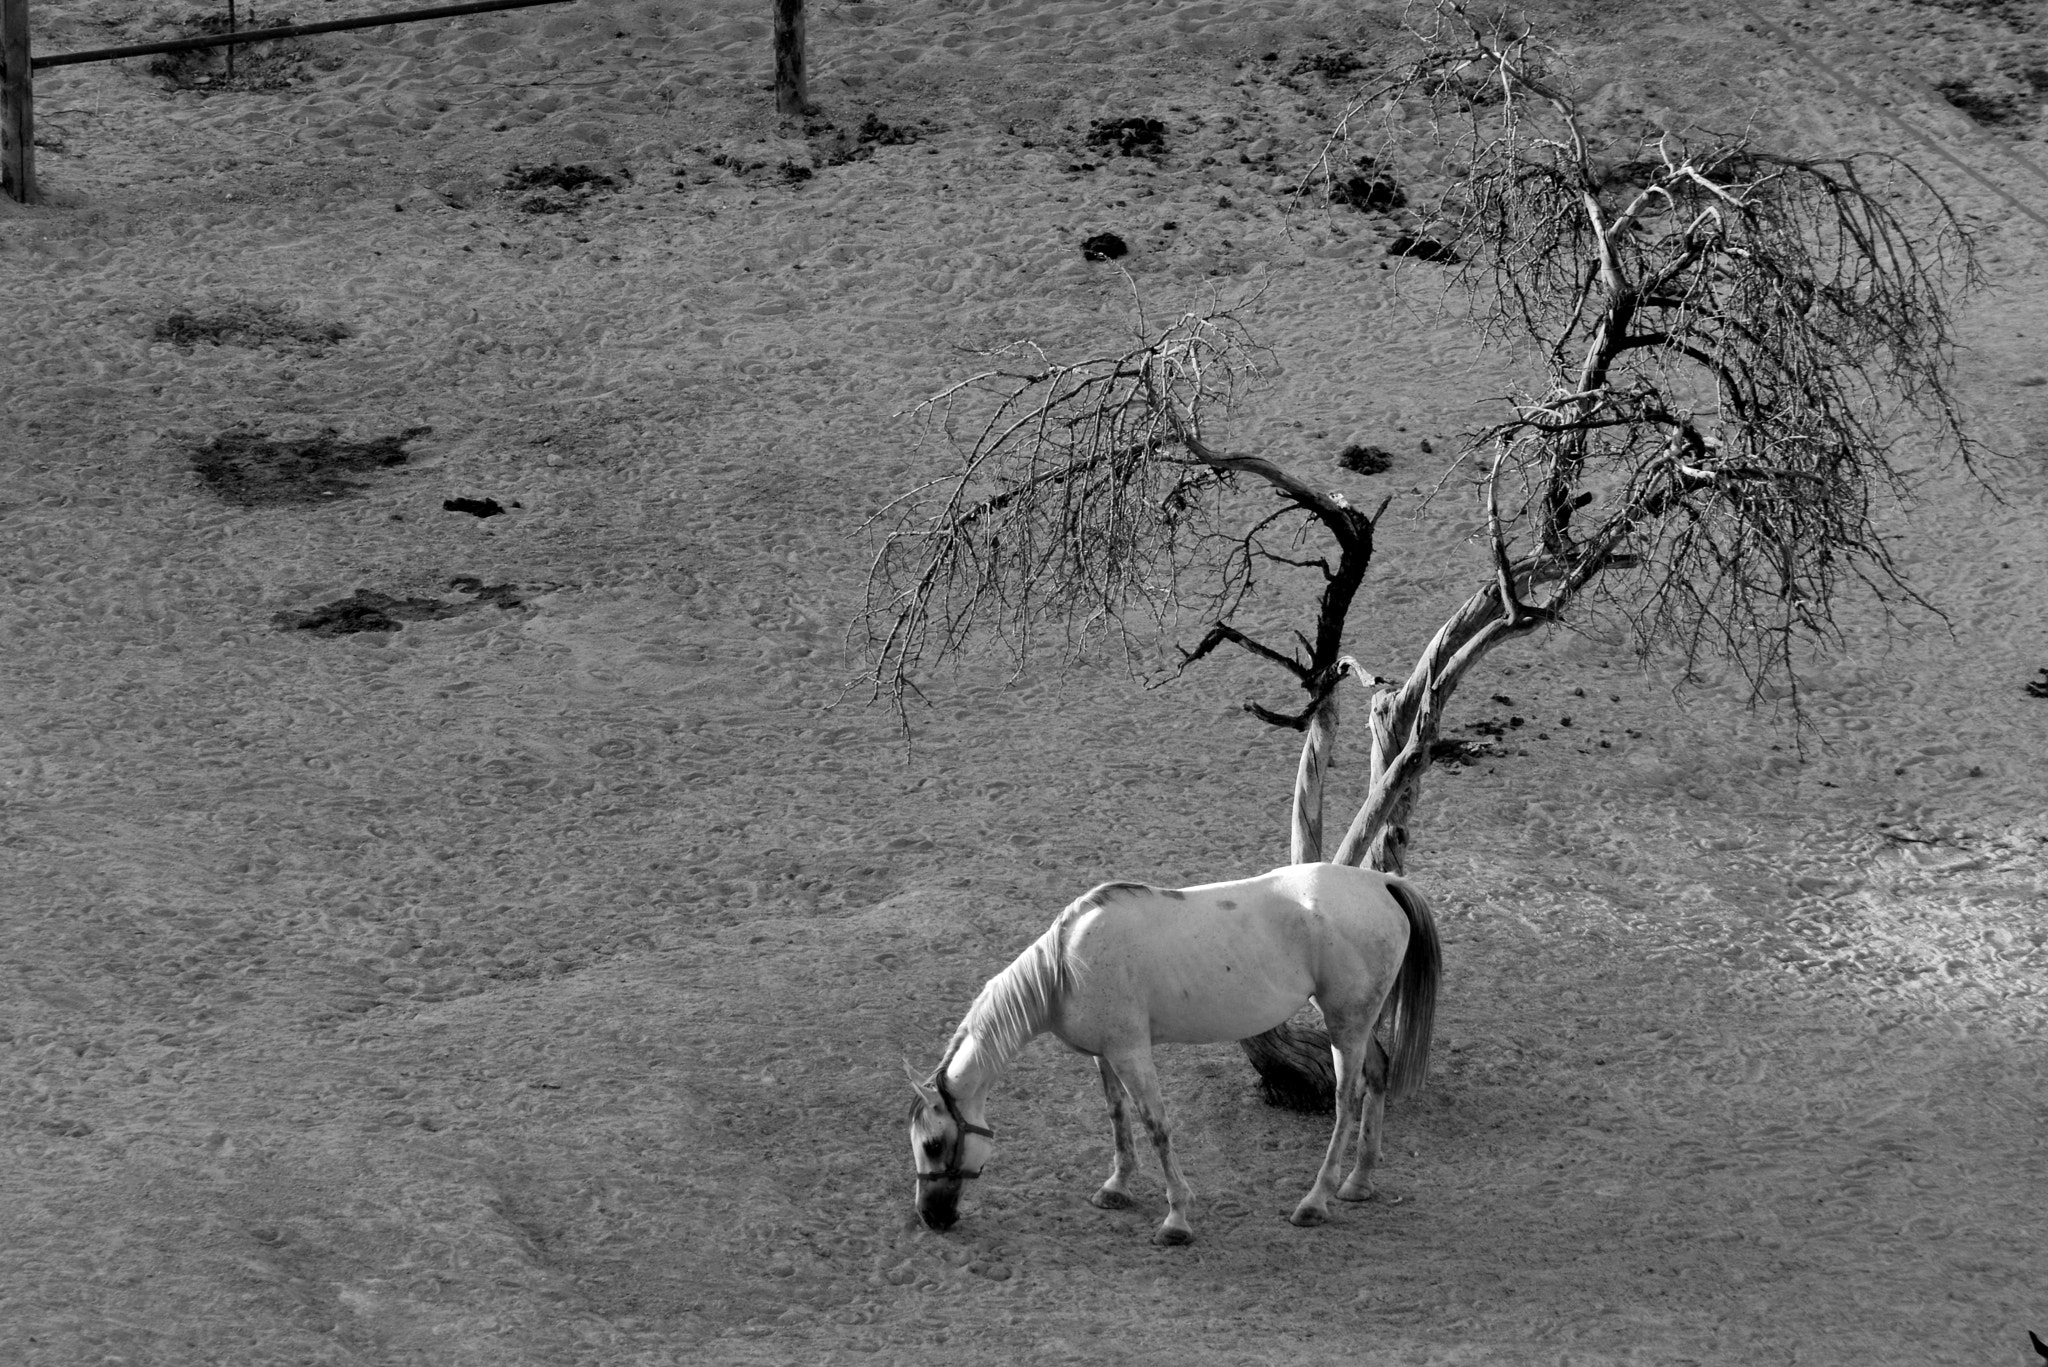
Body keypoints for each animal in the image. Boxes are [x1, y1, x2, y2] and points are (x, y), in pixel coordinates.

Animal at [905, 861, 1440, 1245]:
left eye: (932, 1143)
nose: (930, 1217)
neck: (1065, 967)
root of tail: (1381, 882)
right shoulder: (1106, 1054)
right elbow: (1117, 1115)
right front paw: (1116, 1188)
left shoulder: (1131, 1052)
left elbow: (1155, 1125)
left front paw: (1176, 1220)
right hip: (1356, 1022)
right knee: (1378, 1075)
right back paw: (1359, 1182)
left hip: (1345, 1023)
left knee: (1346, 1100)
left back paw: (1315, 1201)